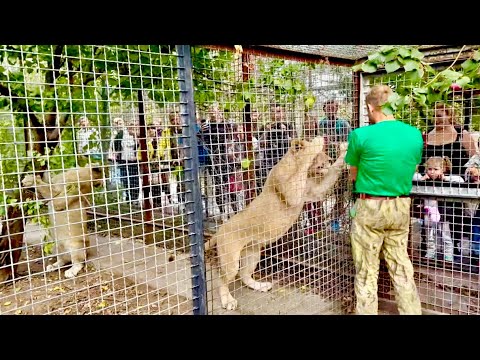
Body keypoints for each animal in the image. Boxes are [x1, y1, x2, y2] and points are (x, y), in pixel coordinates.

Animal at [204, 135, 346, 310]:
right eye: (319, 155)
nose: (330, 159)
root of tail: (220, 230)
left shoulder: (313, 192)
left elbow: (332, 173)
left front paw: (344, 150)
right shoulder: (290, 191)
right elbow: (305, 160)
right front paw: (317, 142)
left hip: (252, 252)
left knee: (244, 274)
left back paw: (260, 286)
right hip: (230, 259)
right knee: (223, 279)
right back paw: (228, 301)